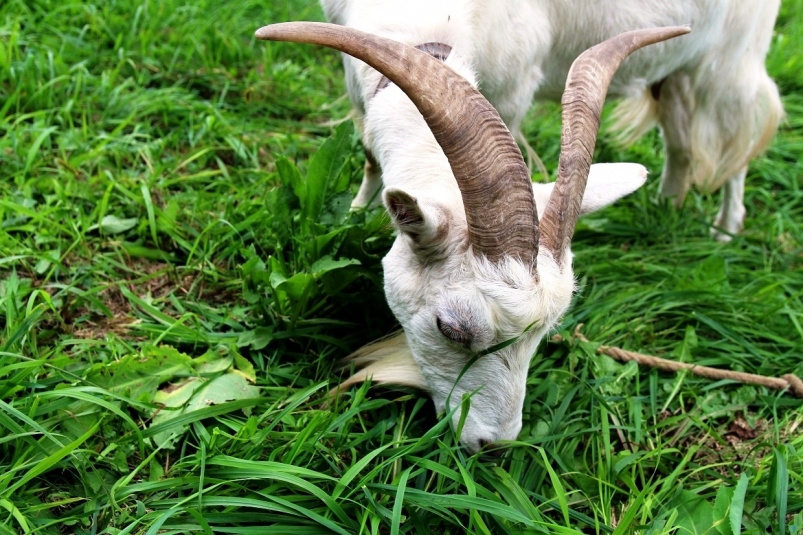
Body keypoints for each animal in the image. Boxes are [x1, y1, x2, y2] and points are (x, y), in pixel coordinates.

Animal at [257, 20, 689, 453]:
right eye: (451, 329)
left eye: (547, 331)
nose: (494, 445)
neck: (424, 36)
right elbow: (367, 158)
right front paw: (355, 211)